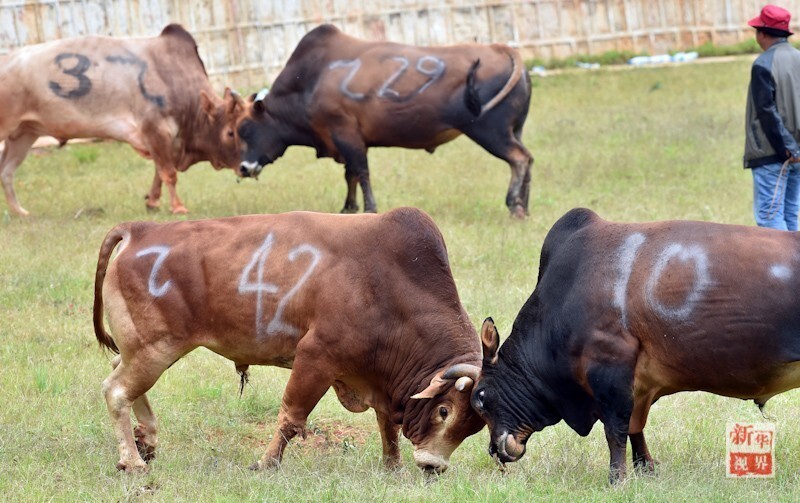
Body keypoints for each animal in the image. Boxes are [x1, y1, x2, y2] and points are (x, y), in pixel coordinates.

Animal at [239, 24, 536, 219]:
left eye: (244, 128)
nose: (243, 168)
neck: (311, 79)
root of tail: (500, 49)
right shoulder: (347, 140)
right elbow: (350, 174)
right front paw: (348, 207)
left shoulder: (345, 133)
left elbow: (361, 172)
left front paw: (369, 208)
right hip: (515, 129)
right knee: (529, 158)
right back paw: (526, 204)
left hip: (490, 131)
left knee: (519, 158)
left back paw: (514, 205)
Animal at [472, 209, 800, 484]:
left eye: (479, 398)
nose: (494, 450)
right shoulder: (639, 384)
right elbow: (635, 428)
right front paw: (645, 467)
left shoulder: (610, 369)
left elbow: (615, 431)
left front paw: (617, 478)